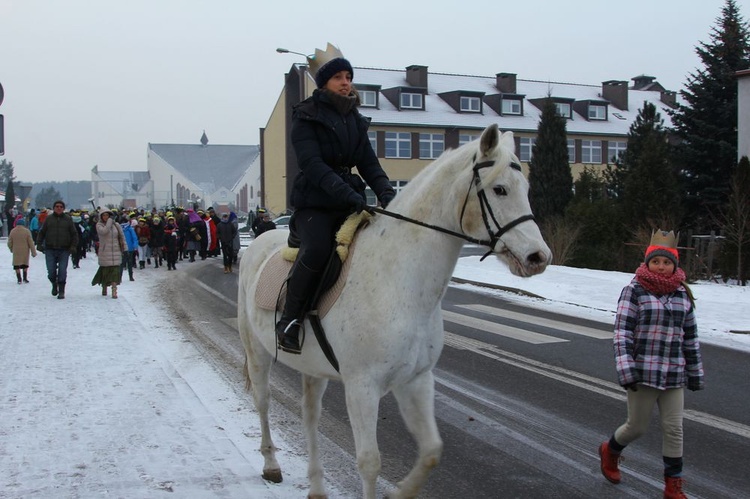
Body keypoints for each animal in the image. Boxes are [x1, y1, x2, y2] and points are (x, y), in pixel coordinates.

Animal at [238, 123, 556, 498]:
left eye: (526, 188)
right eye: (500, 189)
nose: (538, 257)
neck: (399, 281)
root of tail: (258, 242)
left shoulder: (416, 380)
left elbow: (432, 451)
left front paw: (399, 491)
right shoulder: (362, 387)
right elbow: (370, 462)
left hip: (313, 368)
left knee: (310, 415)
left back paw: (316, 486)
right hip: (257, 352)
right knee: (263, 402)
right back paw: (271, 465)